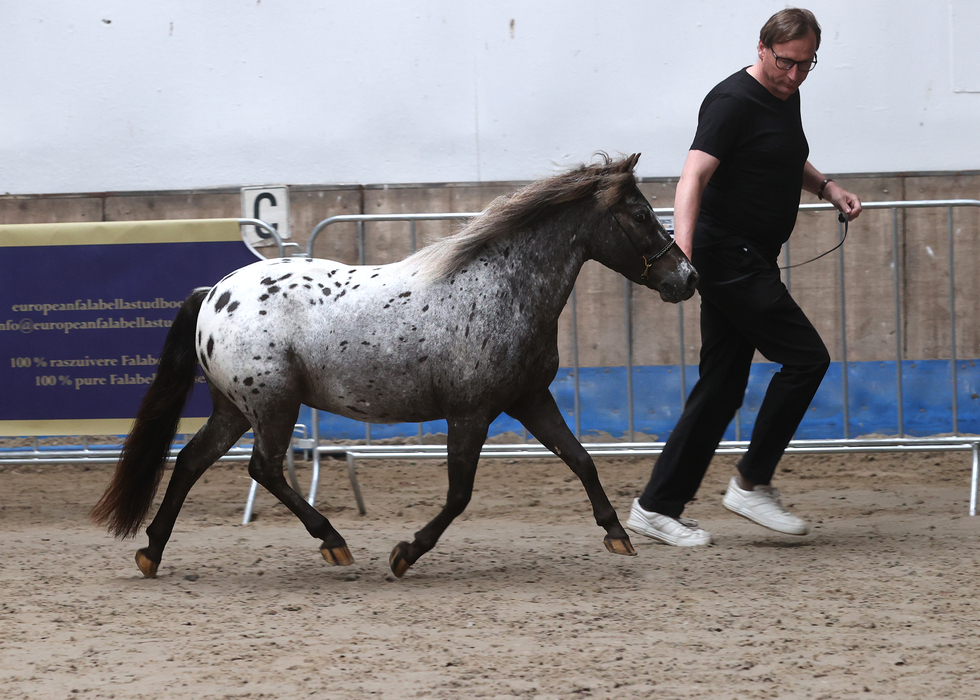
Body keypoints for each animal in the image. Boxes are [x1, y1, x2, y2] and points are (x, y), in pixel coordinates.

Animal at [91, 153, 698, 579]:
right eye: (641, 213)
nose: (686, 278)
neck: (500, 288)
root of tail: (213, 295)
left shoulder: (529, 399)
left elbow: (582, 460)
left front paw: (618, 535)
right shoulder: (470, 413)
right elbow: (460, 494)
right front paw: (405, 553)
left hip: (236, 409)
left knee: (192, 460)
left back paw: (151, 552)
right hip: (272, 405)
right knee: (262, 468)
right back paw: (334, 542)